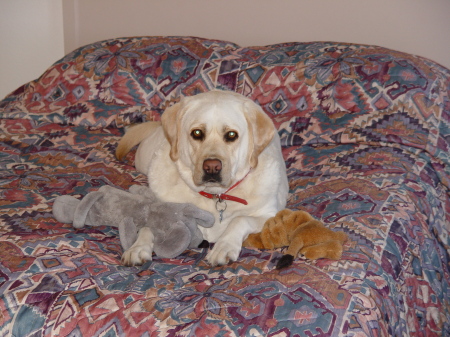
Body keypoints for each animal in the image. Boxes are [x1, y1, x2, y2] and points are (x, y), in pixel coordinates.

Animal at [116, 90, 288, 266]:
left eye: (231, 135)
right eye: (197, 133)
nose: (212, 167)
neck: (215, 196)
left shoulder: (270, 215)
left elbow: (240, 219)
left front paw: (223, 247)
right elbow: (148, 226)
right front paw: (138, 247)